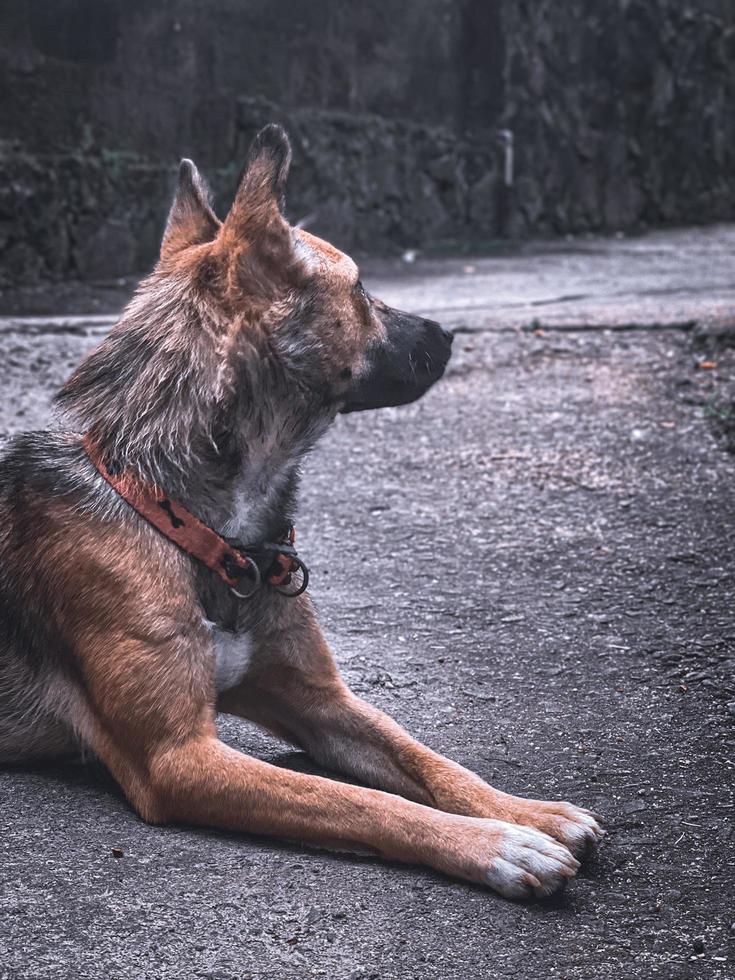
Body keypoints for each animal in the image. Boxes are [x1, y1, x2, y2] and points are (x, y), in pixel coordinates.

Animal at [0, 126, 604, 900]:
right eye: (361, 289)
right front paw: (499, 843)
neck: (189, 517)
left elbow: (427, 759)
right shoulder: (177, 758)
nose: (448, 332)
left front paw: (525, 810)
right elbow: (359, 802)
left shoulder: (320, 702)